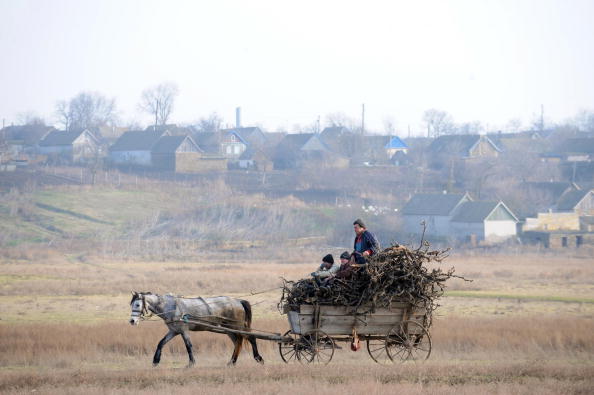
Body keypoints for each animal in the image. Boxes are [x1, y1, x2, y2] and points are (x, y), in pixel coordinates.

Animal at [130, 290, 264, 368]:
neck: (170, 307)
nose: (132, 321)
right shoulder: (174, 331)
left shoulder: (184, 330)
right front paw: (155, 361)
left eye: (137, 304)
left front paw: (191, 363)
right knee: (238, 343)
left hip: (237, 326)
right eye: (131, 304)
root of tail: (238, 301)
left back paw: (258, 358)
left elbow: (188, 345)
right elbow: (161, 343)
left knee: (250, 337)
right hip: (229, 329)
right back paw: (232, 362)